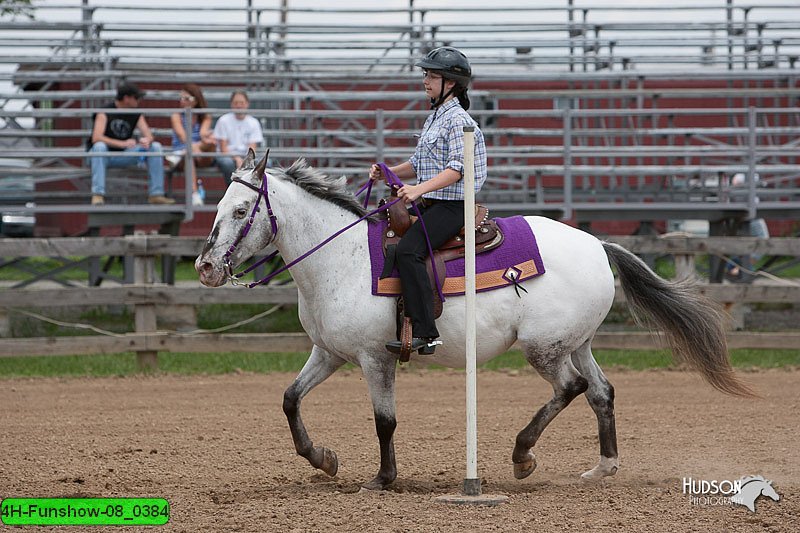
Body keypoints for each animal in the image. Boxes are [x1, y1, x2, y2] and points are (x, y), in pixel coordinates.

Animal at [195, 149, 756, 490]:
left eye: (242, 209)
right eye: (219, 203)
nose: (204, 267)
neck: (342, 258)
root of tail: (598, 243)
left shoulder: (376, 358)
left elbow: (384, 420)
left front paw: (384, 478)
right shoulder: (329, 353)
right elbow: (289, 399)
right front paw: (323, 459)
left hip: (543, 347)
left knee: (570, 388)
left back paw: (522, 455)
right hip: (576, 342)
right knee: (601, 391)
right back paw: (602, 467)